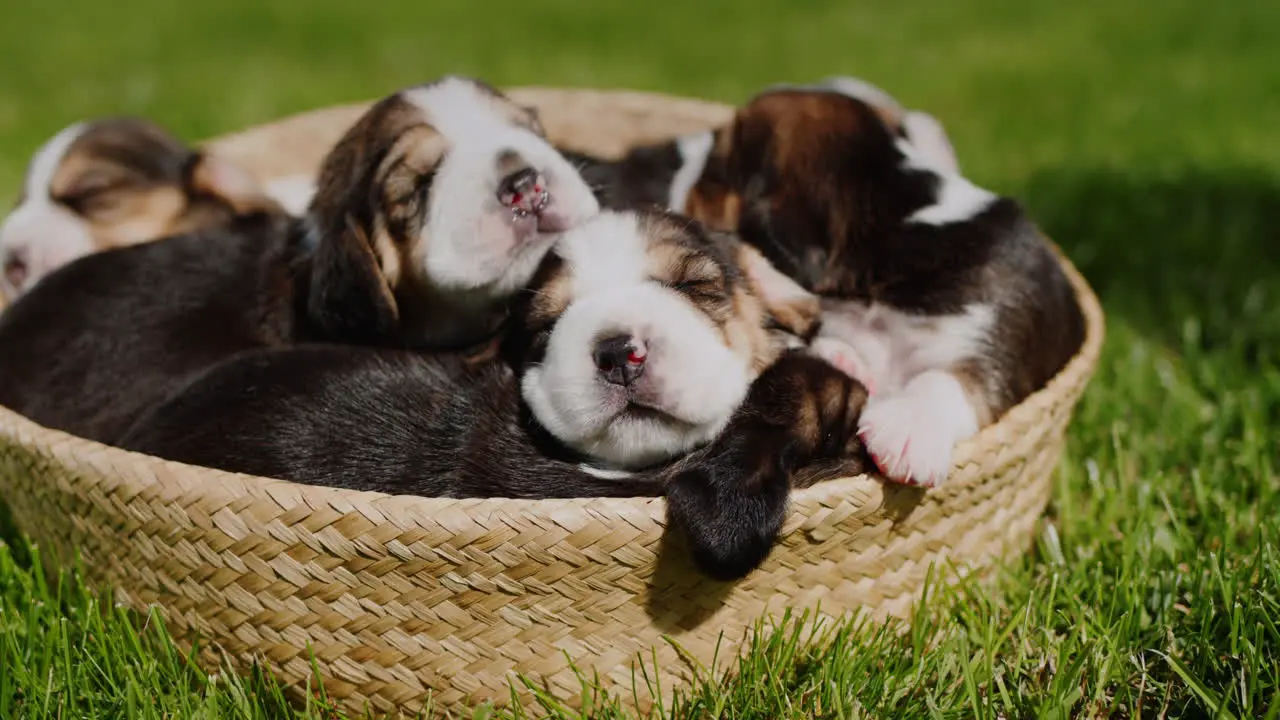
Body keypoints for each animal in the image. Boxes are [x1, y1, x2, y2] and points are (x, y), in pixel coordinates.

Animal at [675, 83, 1085, 486]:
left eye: (714, 172)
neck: (897, 213)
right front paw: (845, 358)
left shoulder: (998, 328)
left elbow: (954, 378)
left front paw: (909, 431)